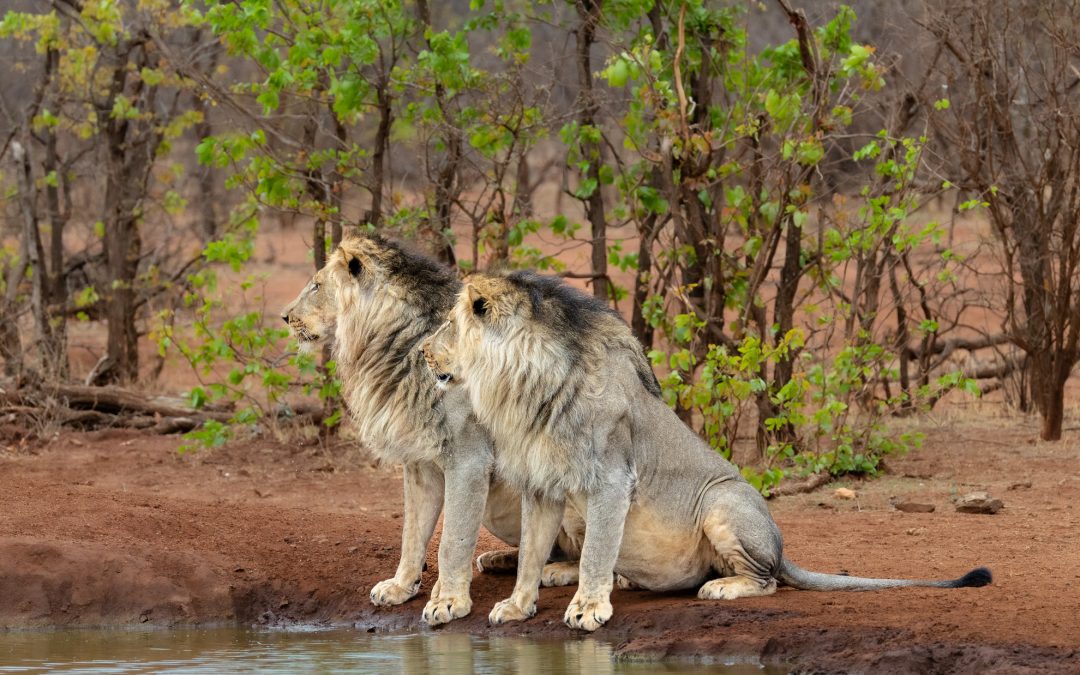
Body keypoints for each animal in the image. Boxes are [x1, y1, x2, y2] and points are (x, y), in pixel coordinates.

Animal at [280, 234, 533, 622]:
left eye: (317, 286)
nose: (285, 317)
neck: (389, 348)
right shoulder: (419, 461)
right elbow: (411, 533)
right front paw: (401, 586)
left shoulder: (469, 459)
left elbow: (452, 540)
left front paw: (449, 601)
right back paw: (501, 560)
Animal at [416, 270, 989, 630]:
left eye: (449, 326)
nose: (421, 352)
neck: (523, 388)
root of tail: (782, 546)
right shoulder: (544, 488)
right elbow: (533, 554)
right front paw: (517, 606)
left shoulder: (611, 480)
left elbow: (599, 549)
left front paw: (587, 610)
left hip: (722, 502)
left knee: (766, 581)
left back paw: (723, 588)